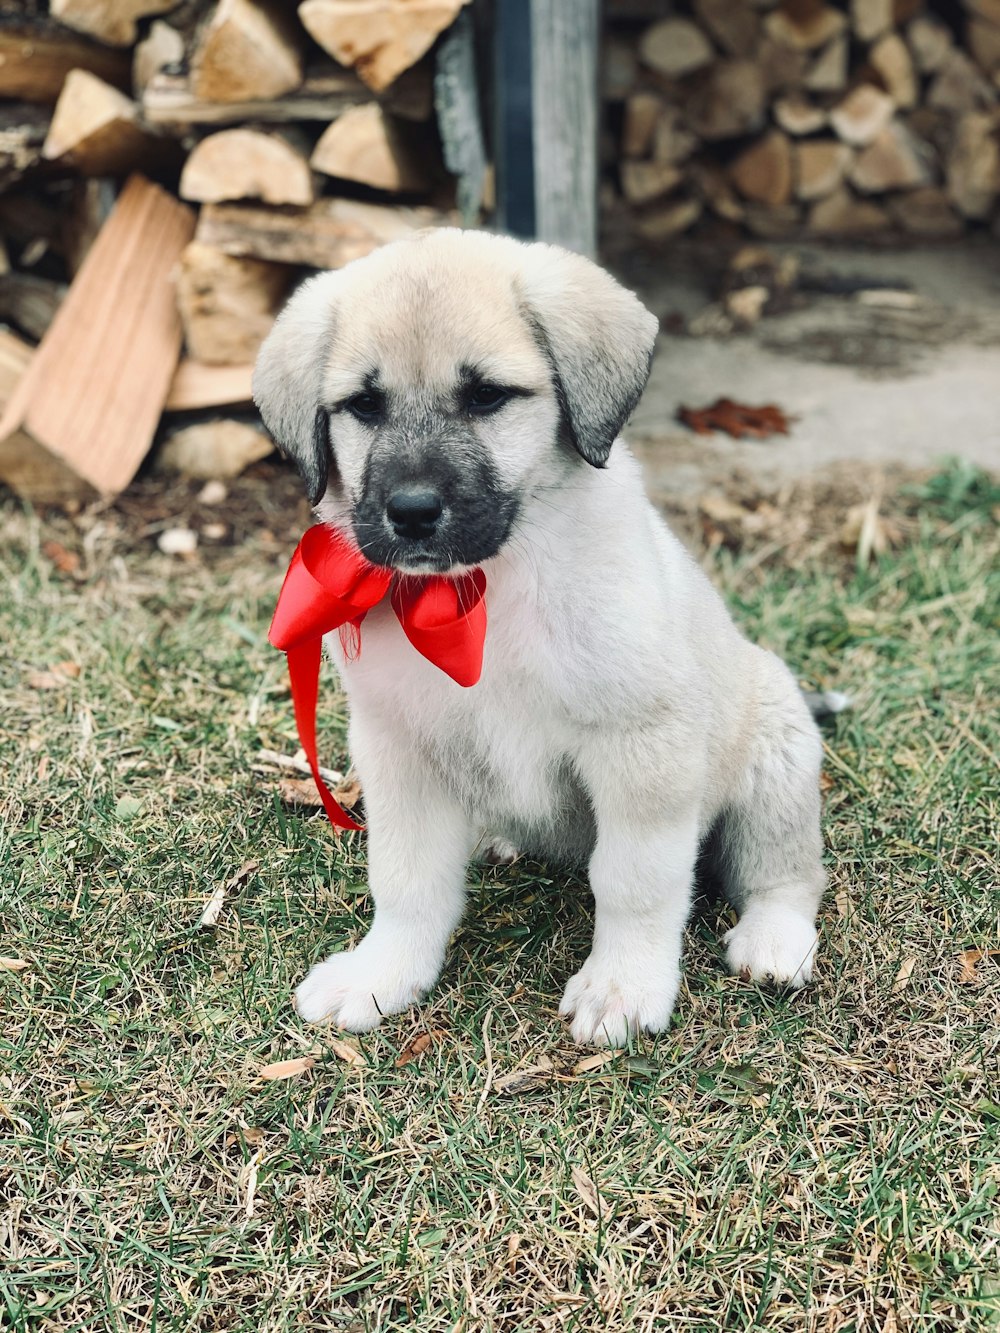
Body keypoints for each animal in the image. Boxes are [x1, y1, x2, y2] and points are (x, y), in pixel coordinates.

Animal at [254, 231, 826, 1050]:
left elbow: (635, 881)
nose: (412, 512)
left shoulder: (641, 749)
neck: (482, 592)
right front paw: (384, 972)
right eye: (363, 405)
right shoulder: (400, 750)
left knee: (789, 873)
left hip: (776, 757)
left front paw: (623, 985)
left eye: (486, 396)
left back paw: (774, 939)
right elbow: (405, 878)